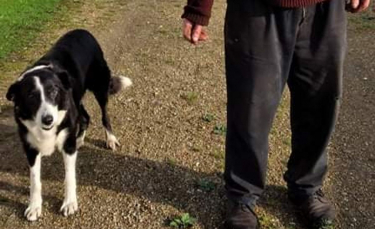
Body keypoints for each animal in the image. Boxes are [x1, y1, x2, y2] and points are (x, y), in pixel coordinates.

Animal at [5, 28, 132, 220]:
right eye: (31, 96)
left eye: (53, 91)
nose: (48, 119)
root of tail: (82, 30)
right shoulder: (30, 147)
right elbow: (34, 180)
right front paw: (34, 206)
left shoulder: (67, 146)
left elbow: (69, 176)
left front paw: (70, 203)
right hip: (77, 99)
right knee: (85, 117)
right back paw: (80, 138)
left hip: (100, 87)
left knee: (104, 115)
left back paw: (110, 138)